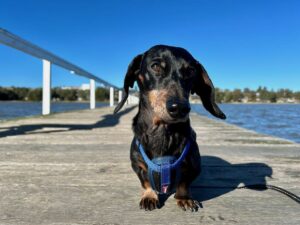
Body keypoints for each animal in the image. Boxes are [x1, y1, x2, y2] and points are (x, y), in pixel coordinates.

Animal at [114, 44, 225, 211]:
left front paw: (184, 198)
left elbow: (184, 183)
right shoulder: (137, 164)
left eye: (190, 71)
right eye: (155, 66)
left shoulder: (193, 166)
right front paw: (149, 196)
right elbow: (145, 181)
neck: (163, 131)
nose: (179, 108)